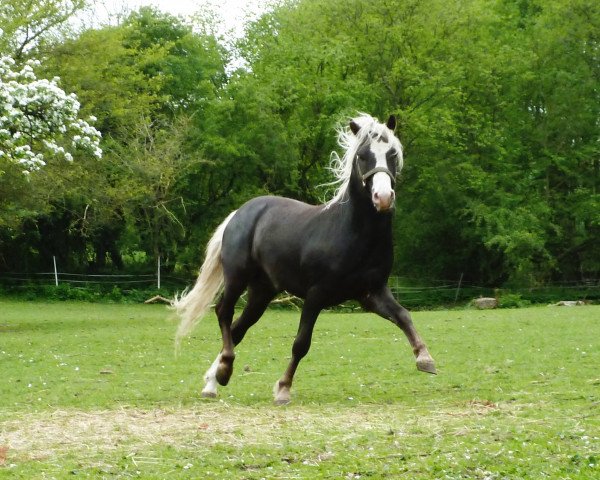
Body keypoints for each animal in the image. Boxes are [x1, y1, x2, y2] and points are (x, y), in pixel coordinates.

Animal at [173, 113, 436, 404]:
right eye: (362, 156)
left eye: (392, 154)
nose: (383, 197)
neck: (352, 233)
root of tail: (240, 213)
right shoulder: (316, 294)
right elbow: (301, 344)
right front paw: (283, 388)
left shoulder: (372, 293)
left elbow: (404, 316)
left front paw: (425, 358)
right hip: (237, 278)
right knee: (224, 313)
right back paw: (225, 369)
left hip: (262, 292)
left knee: (238, 328)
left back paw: (214, 380)